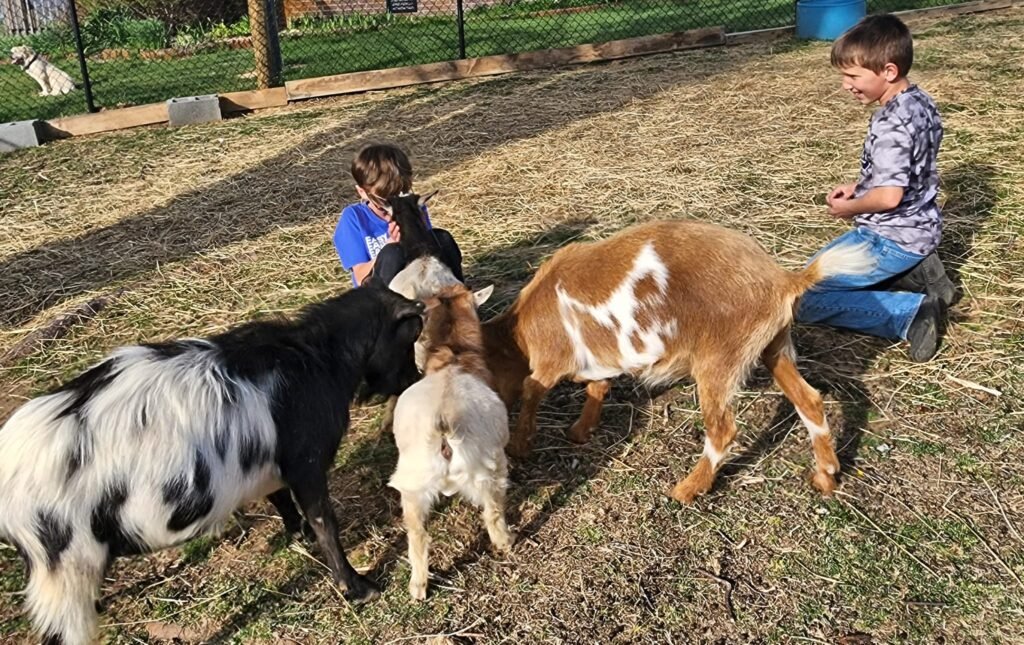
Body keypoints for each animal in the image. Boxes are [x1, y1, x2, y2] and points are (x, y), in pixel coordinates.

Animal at [0, 286, 424, 645]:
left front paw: (296, 534)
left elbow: (279, 498)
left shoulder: (271, 462)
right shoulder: (305, 461)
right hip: (66, 568)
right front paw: (359, 588)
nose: (415, 380)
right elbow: (325, 523)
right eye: (408, 338)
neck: (317, 355)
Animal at [389, 283, 515, 600]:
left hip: (412, 484)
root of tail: (444, 421)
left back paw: (418, 587)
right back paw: (507, 542)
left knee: (418, 535)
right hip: (489, 470)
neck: (453, 357)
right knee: (493, 513)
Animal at [480, 220, 876, 503]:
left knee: (723, 429)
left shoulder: (549, 361)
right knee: (809, 400)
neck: (517, 331)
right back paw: (825, 476)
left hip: (718, 360)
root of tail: (785, 280)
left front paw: (519, 446)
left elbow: (532, 390)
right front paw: (580, 431)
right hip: (772, 348)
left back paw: (687, 490)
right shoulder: (601, 357)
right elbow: (599, 384)